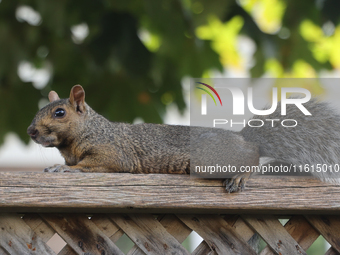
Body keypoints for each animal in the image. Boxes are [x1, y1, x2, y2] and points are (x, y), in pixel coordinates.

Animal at [26, 84, 340, 192]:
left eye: (59, 112)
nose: (31, 131)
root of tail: (243, 138)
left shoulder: (113, 152)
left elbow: (91, 165)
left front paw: (62, 168)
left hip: (213, 159)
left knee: (251, 159)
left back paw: (241, 175)